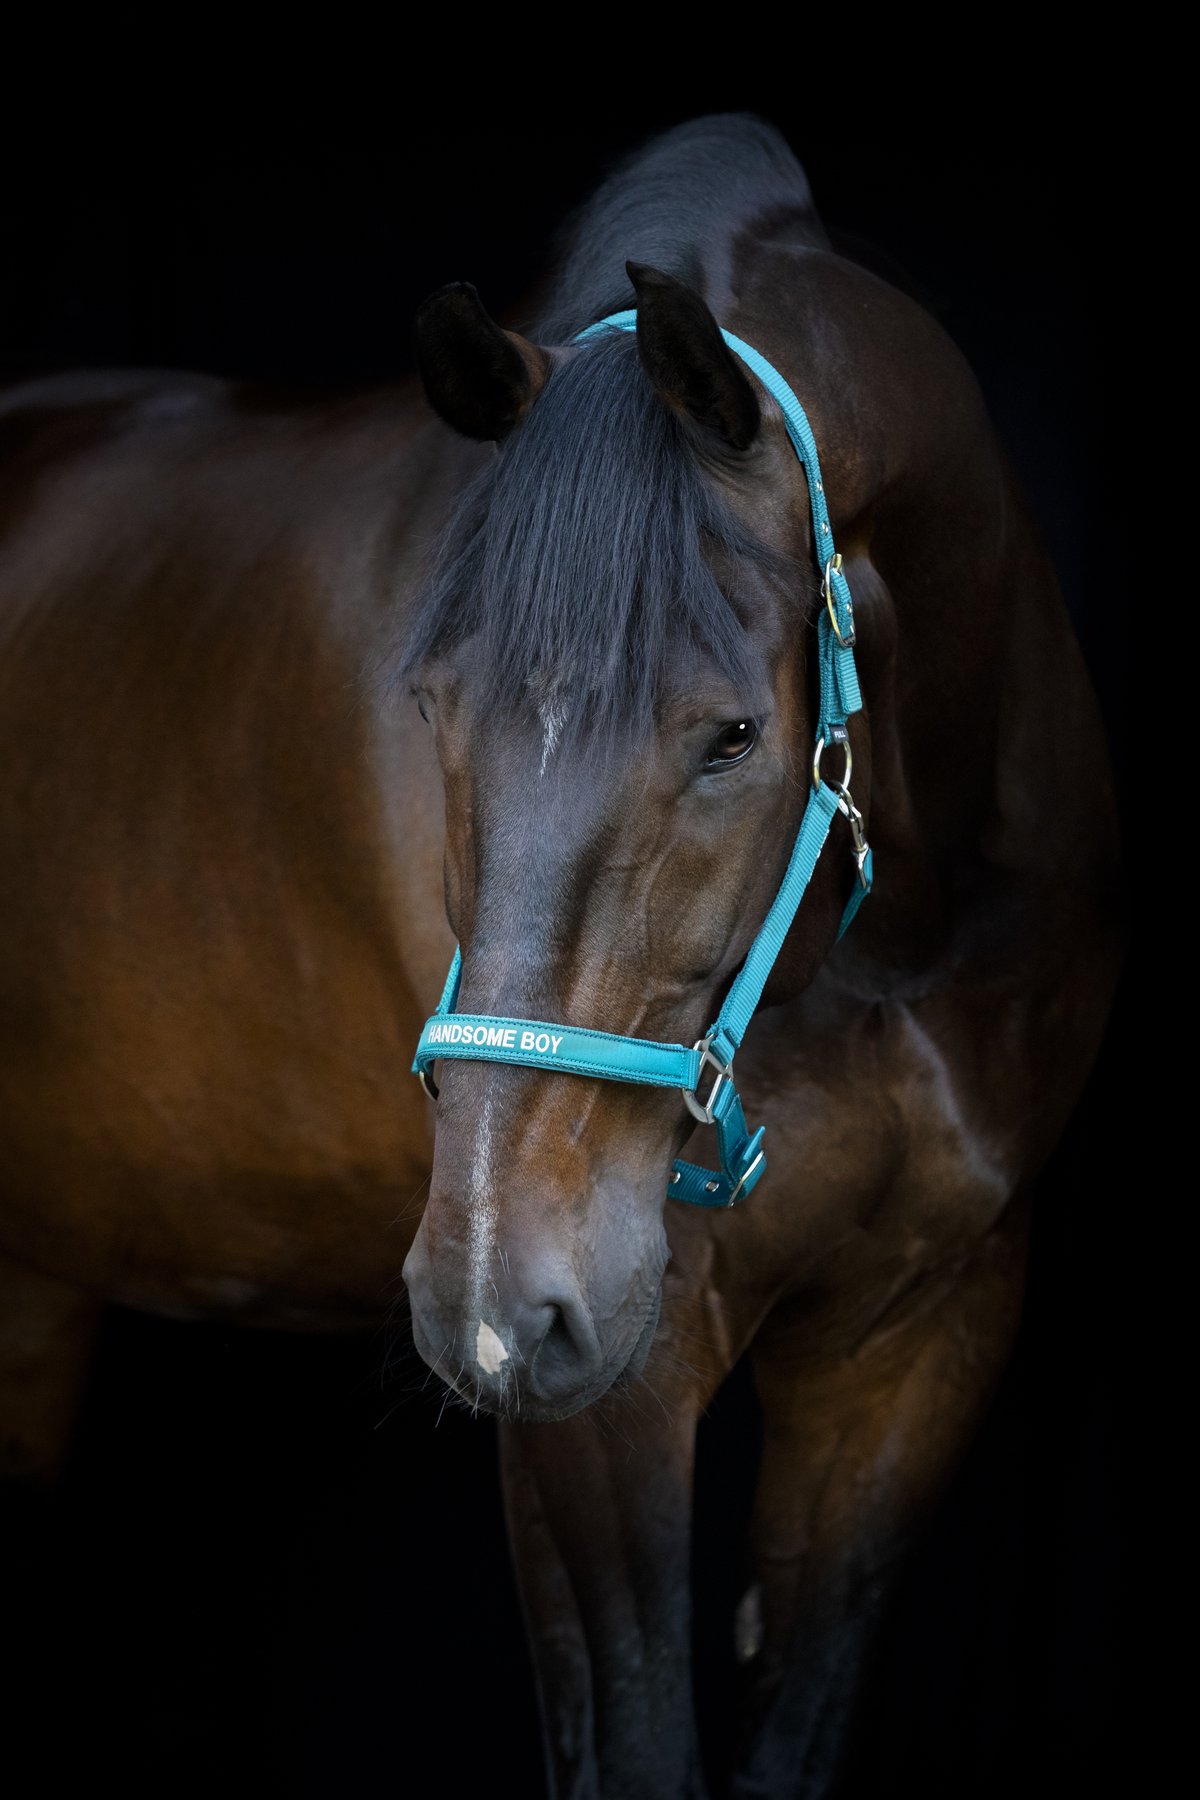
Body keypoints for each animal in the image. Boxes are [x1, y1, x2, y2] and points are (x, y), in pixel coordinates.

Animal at [0, 115, 1120, 1798]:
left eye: (734, 733)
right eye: (429, 703)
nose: (491, 1293)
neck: (887, 951)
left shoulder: (923, 1335)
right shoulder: (606, 1399)